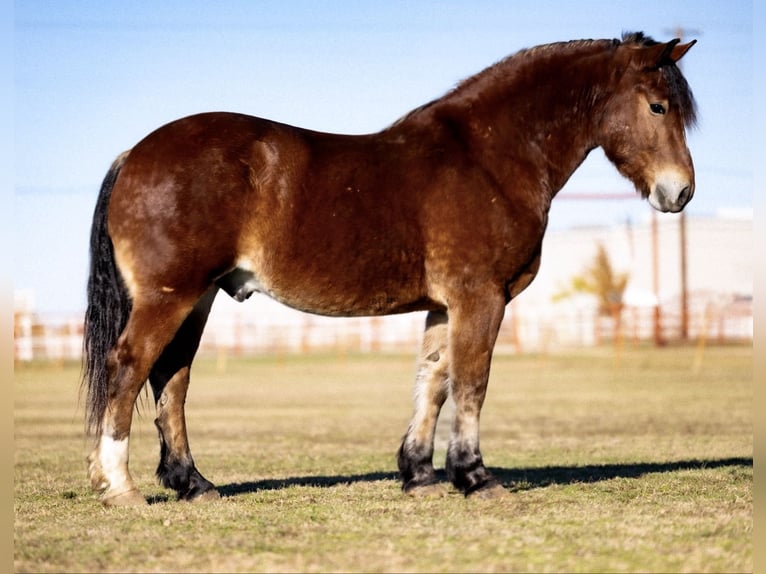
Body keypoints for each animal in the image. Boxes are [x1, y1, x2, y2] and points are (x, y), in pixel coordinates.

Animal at [82, 32, 696, 508]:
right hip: (171, 295)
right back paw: (120, 486)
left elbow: (433, 381)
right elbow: (471, 382)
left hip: (197, 297)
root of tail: (134, 155)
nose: (681, 192)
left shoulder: (445, 305)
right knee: (129, 366)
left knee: (172, 378)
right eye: (658, 107)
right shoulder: (480, 297)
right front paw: (475, 477)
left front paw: (420, 474)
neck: (488, 158)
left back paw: (193, 483)